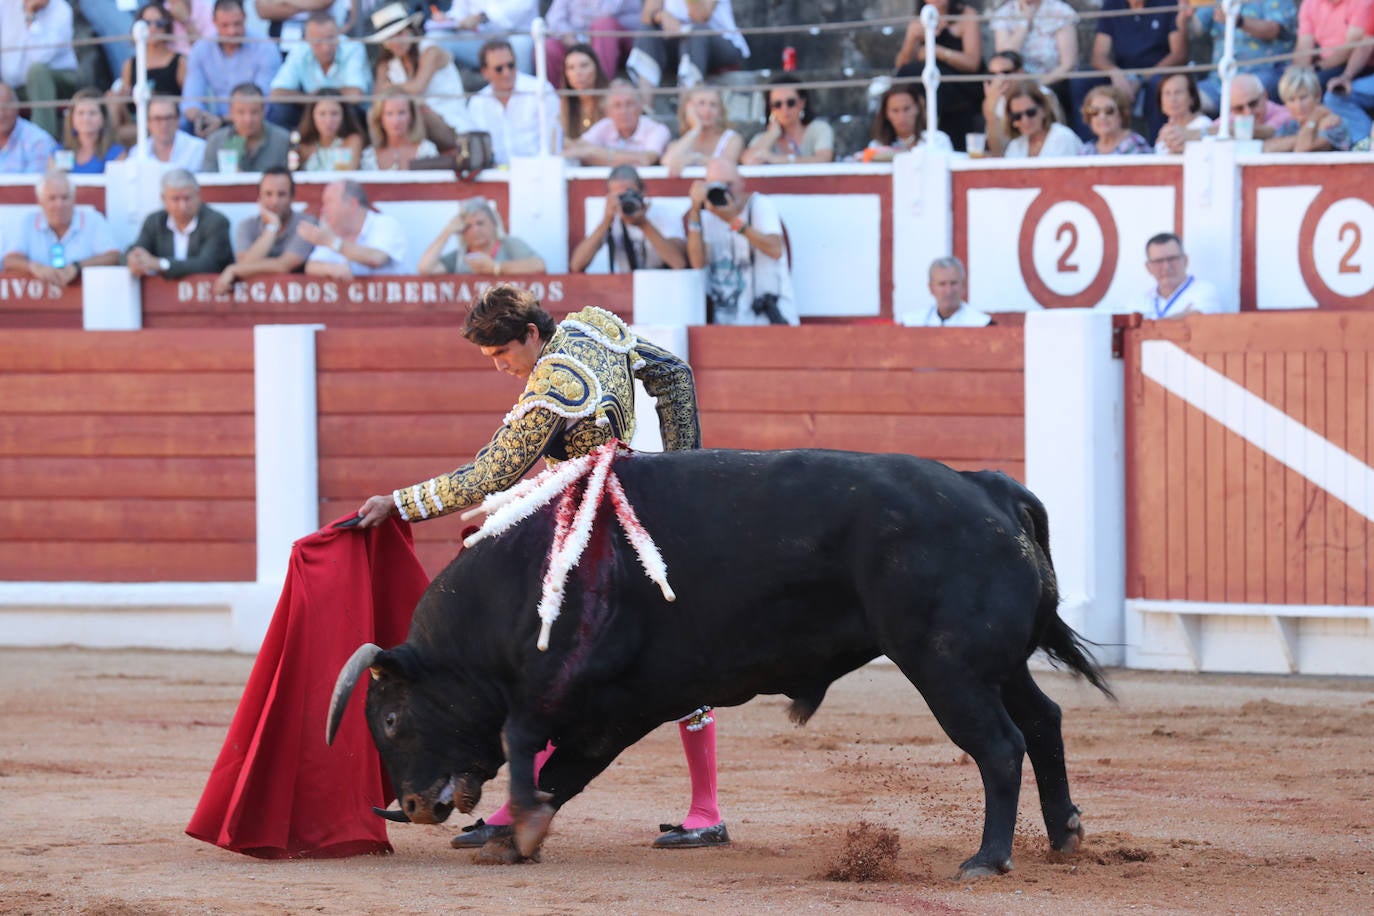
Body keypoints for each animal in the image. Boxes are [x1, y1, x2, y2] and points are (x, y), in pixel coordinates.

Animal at [327, 447, 1110, 878]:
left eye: (391, 720)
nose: (413, 807)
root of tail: (987, 487)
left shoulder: (571, 689)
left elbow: (527, 746)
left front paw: (515, 830)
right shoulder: (618, 709)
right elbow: (560, 771)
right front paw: (511, 834)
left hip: (946, 669)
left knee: (1000, 745)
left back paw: (987, 859)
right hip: (996, 665)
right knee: (1044, 721)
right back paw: (1064, 835)